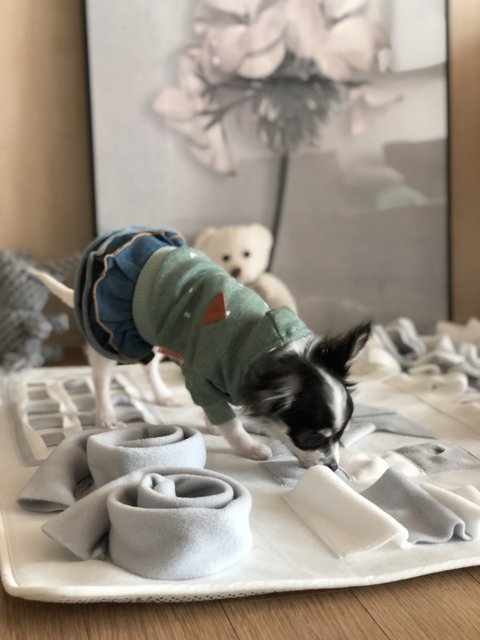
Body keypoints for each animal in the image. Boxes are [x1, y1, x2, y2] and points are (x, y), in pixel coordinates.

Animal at [30, 228, 370, 469]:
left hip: (150, 333)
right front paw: (248, 447)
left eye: (341, 437)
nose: (333, 466)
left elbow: (221, 412)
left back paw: (162, 396)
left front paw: (211, 425)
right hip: (112, 337)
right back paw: (105, 415)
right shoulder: (201, 378)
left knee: (150, 366)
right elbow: (231, 422)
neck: (267, 344)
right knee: (100, 378)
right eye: (311, 438)